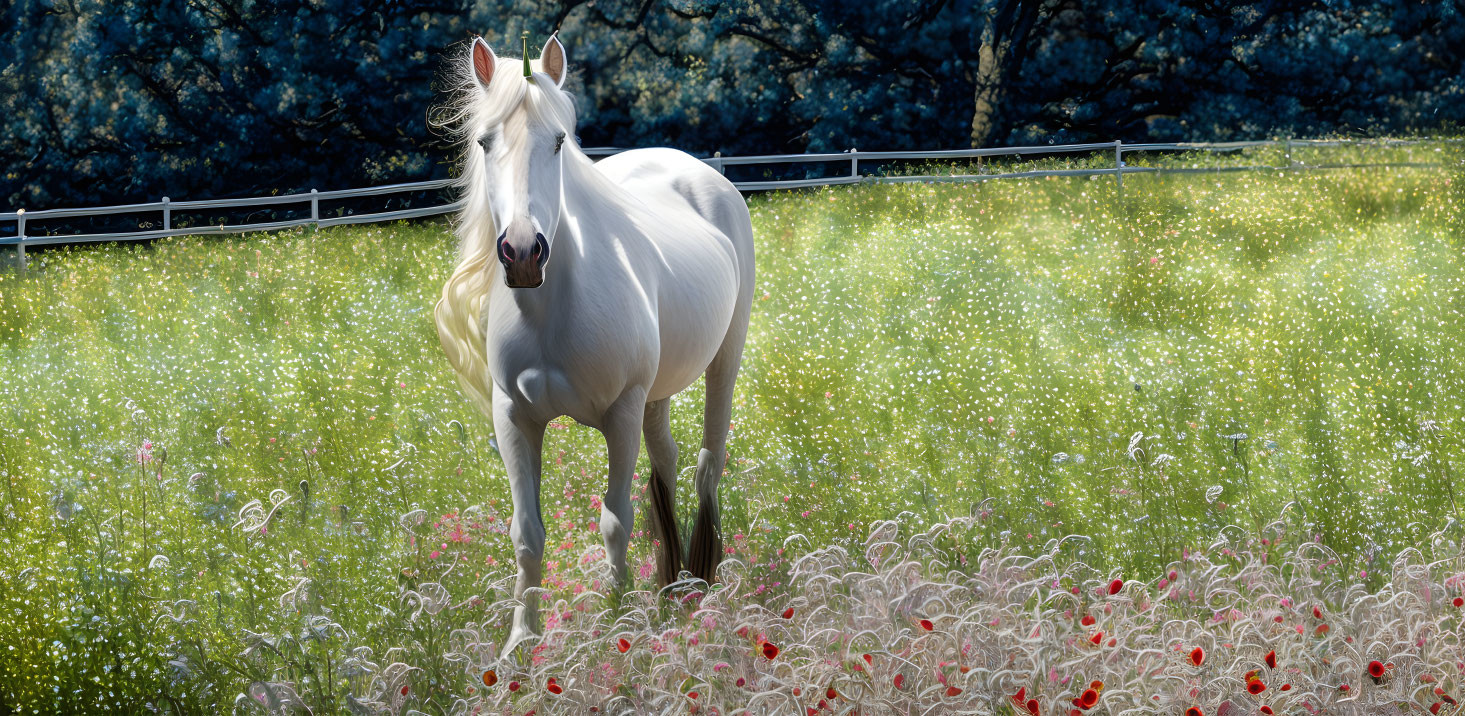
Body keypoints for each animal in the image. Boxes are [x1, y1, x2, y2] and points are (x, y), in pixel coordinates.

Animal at [433, 32, 755, 647]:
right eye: (484, 142)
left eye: (559, 141)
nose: (523, 252)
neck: (552, 313)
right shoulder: (513, 417)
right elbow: (526, 532)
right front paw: (522, 641)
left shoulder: (621, 412)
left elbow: (614, 521)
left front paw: (616, 625)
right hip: (657, 394)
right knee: (668, 460)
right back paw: (672, 581)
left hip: (724, 360)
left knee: (708, 462)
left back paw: (701, 576)